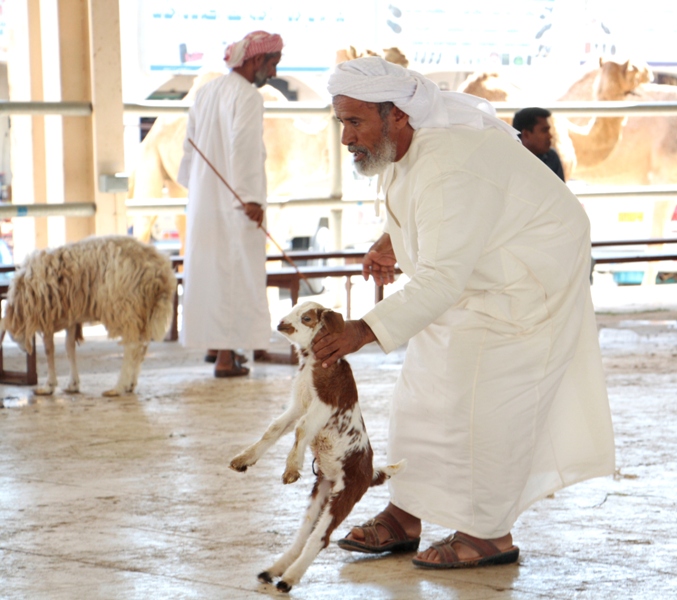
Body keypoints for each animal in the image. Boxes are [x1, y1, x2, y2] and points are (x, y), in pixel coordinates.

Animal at [230, 302, 404, 592]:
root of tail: (370, 473)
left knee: (320, 538)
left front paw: (291, 468)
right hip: (321, 490)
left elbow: (301, 428)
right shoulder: (300, 403)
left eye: (307, 318)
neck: (313, 363)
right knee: (303, 535)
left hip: (345, 493)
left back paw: (288, 579)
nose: (280, 324)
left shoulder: (324, 402)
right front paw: (244, 459)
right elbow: (275, 428)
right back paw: (273, 571)